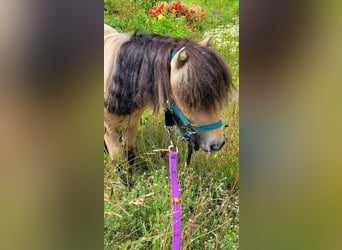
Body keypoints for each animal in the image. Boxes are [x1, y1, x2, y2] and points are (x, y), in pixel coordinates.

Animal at [104, 23, 232, 166]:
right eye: (189, 100)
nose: (218, 144)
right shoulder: (110, 133)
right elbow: (119, 163)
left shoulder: (132, 125)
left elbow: (130, 156)